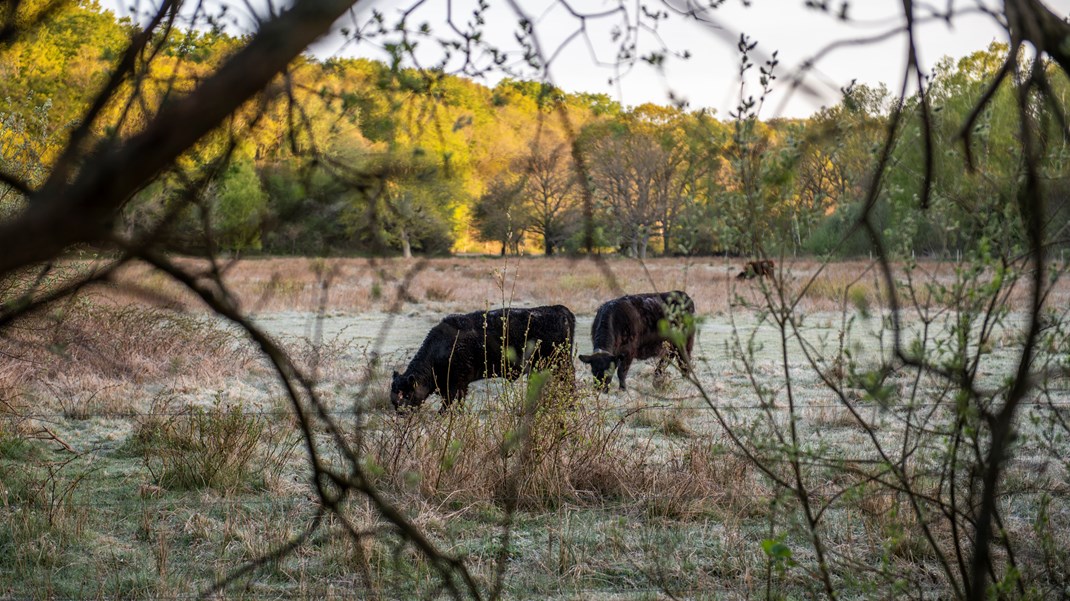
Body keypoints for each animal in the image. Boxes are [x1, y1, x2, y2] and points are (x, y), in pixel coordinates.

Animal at [391, 303, 573, 406]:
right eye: (393, 394)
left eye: (407, 394)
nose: (399, 411)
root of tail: (560, 310)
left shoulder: (456, 387)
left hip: (561, 367)